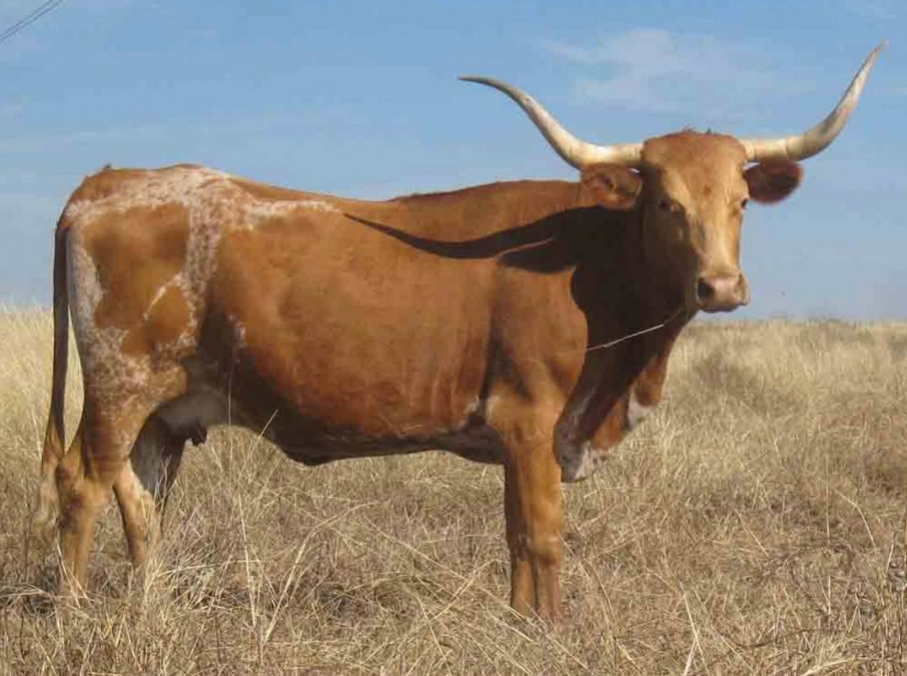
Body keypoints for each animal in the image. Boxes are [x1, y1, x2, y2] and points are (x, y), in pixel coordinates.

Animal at [33, 45, 882, 620]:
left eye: (738, 201)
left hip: (166, 410)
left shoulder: (518, 436)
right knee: (82, 484)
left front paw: (518, 623)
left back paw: (151, 611)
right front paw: (549, 632)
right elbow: (542, 534)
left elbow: (513, 534)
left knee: (141, 500)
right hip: (117, 386)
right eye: (665, 202)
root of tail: (108, 183)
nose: (722, 287)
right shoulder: (529, 417)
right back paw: (76, 616)